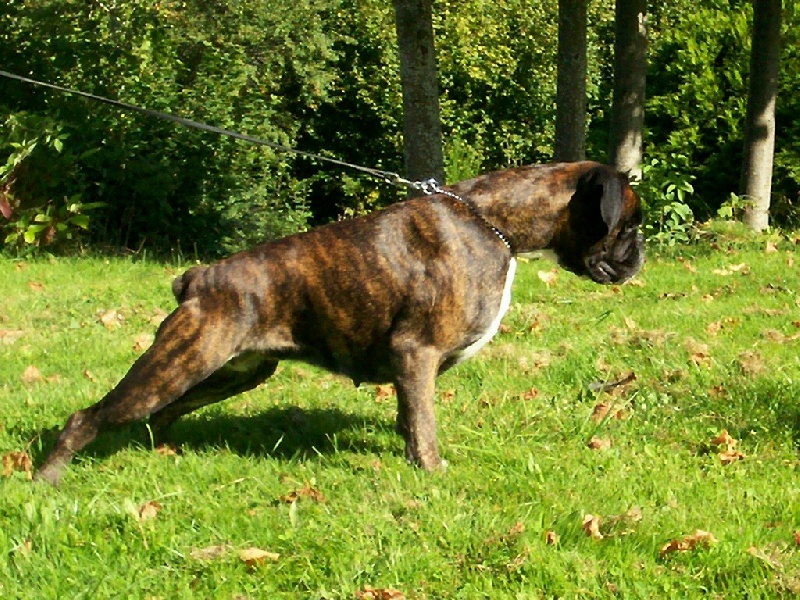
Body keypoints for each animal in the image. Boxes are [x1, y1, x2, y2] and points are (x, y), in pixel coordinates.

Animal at [35, 161, 644, 485]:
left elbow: (409, 417)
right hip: (182, 361)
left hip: (229, 371)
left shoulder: (410, 367)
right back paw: (48, 478)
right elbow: (423, 423)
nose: (640, 254)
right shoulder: (416, 352)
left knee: (166, 411)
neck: (494, 223)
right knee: (90, 416)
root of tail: (201, 277)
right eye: (630, 224)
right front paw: (431, 472)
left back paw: (162, 453)